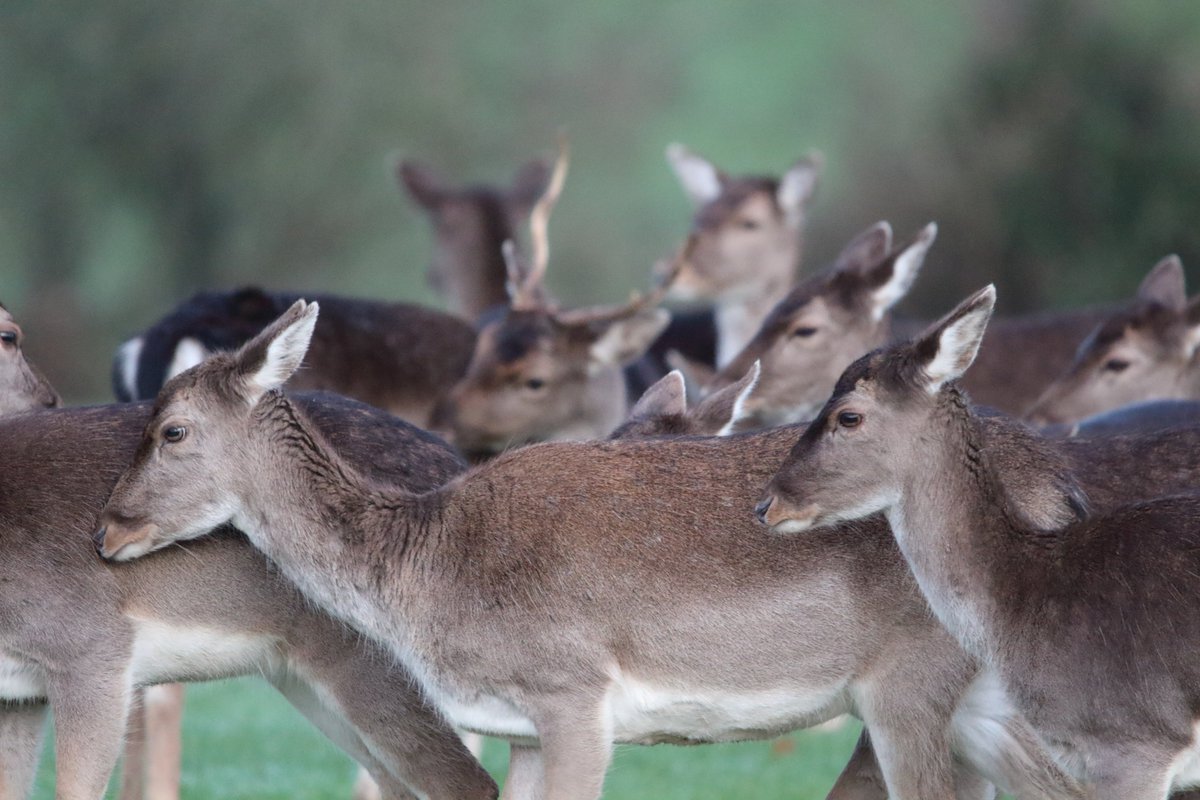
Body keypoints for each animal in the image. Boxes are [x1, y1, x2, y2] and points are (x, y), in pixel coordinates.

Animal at [95, 299, 1100, 800]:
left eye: (171, 429)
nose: (107, 527)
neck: (427, 564)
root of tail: (1065, 488)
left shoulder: (574, 692)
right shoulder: (519, 724)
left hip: (912, 684)